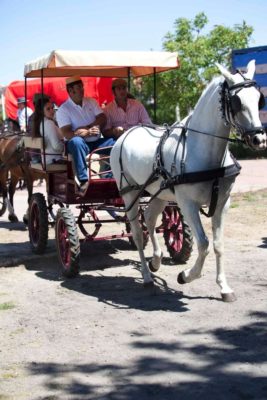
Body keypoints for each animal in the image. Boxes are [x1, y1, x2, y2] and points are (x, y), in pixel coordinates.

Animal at [110, 60, 266, 304]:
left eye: (259, 98)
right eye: (236, 101)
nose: (259, 139)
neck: (201, 150)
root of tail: (126, 133)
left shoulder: (223, 203)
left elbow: (218, 244)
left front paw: (224, 287)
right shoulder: (187, 204)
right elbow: (203, 244)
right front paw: (186, 275)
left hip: (160, 193)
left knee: (150, 219)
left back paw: (156, 260)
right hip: (129, 193)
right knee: (136, 231)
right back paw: (147, 276)